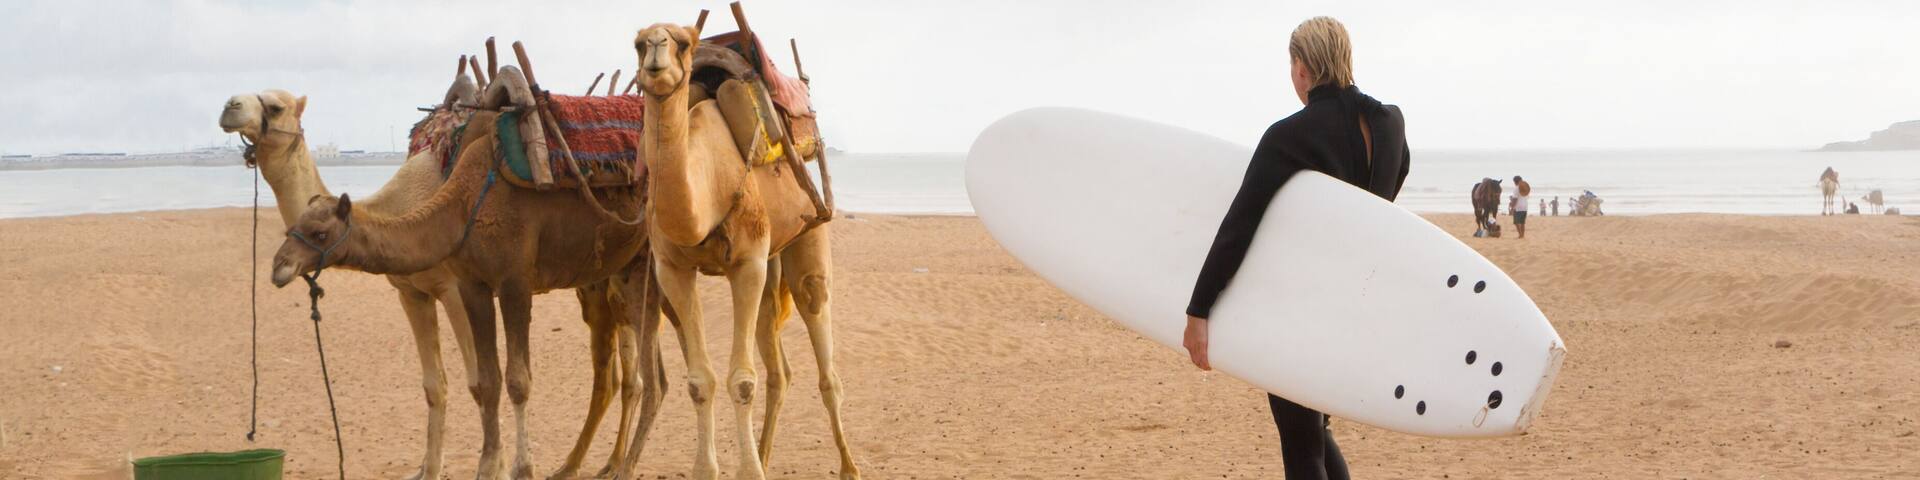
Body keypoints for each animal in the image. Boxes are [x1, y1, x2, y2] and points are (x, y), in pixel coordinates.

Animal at [220, 87, 658, 480]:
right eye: (293, 227)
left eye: (274, 106)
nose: (280, 266)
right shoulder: (437, 290)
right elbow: (463, 382)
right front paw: (448, 468)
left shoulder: (497, 284)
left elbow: (505, 381)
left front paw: (515, 468)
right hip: (609, 280)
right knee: (623, 376)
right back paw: (595, 464)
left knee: (633, 374)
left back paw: (613, 464)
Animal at [627, 23, 860, 479]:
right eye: (639, 42)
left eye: (683, 43)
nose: (657, 51)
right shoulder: (672, 269)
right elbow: (700, 381)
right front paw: (708, 469)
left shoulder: (748, 263)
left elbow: (743, 380)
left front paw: (749, 470)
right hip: (772, 265)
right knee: (778, 368)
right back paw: (767, 455)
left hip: (808, 233)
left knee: (822, 347)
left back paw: (849, 467)